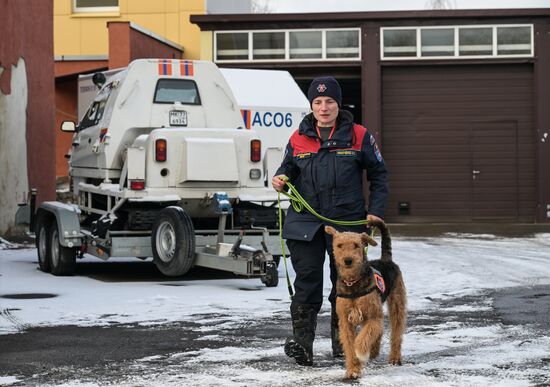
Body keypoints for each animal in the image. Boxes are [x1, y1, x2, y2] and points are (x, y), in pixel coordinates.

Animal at [326, 220, 408, 380]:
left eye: (356, 245)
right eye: (339, 245)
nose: (348, 261)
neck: (352, 283)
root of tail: (386, 259)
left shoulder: (372, 317)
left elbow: (362, 339)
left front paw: (360, 352)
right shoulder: (345, 321)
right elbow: (350, 345)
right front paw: (353, 370)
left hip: (397, 305)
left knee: (396, 334)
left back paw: (395, 358)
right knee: (380, 331)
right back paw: (374, 351)